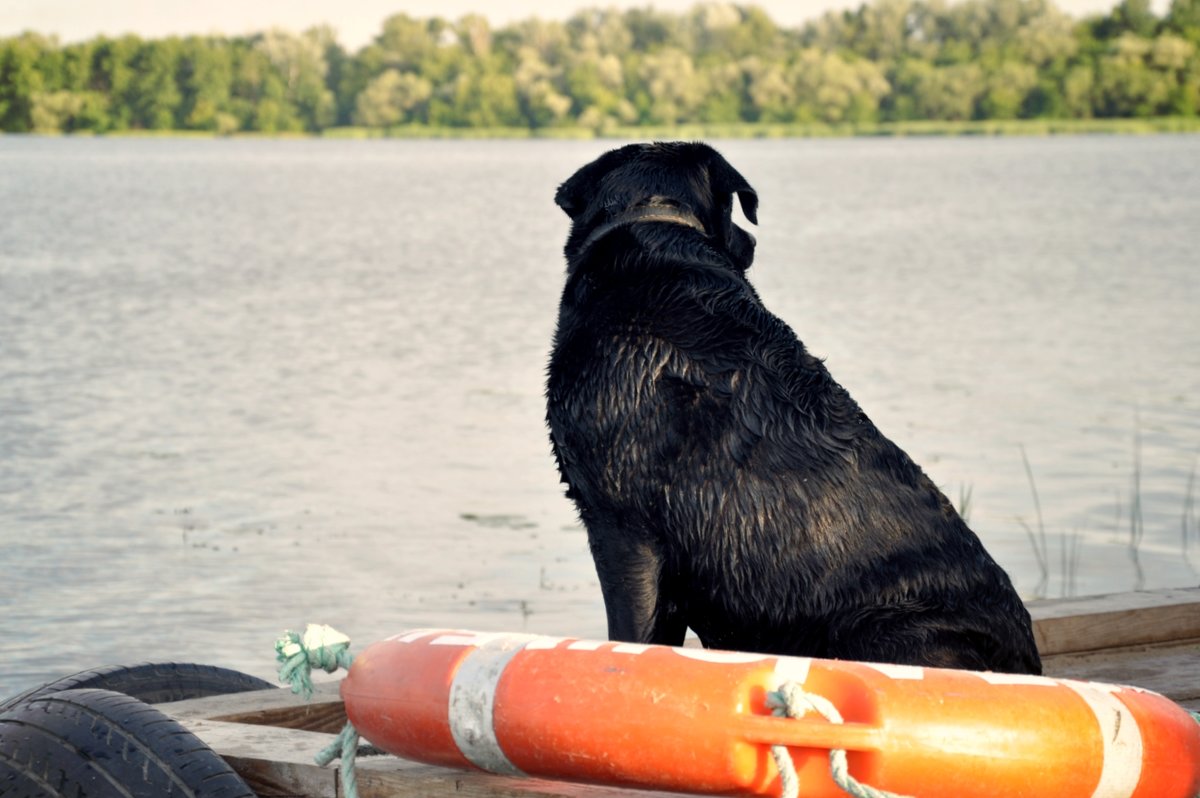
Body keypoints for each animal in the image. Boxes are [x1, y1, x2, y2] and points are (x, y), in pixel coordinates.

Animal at [544, 141, 1041, 672]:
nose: (750, 242)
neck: (655, 216)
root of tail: (1029, 663)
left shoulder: (620, 527)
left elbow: (630, 636)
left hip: (882, 630)